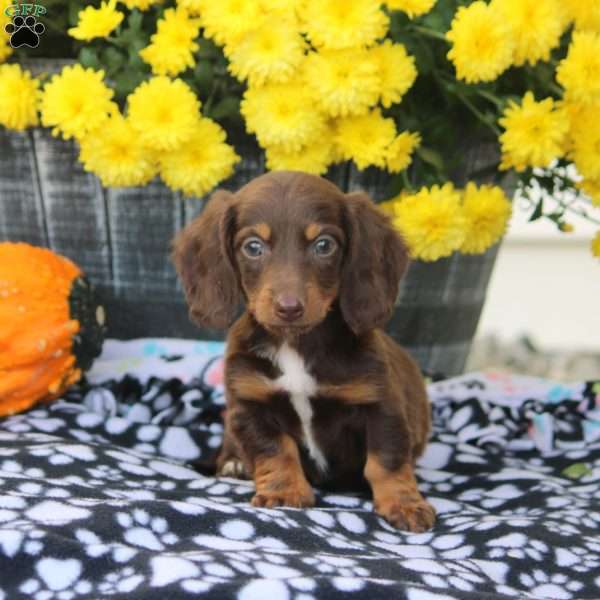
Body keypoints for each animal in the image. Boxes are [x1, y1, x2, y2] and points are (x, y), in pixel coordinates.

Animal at [173, 171, 436, 532]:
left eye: (324, 245)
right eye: (252, 247)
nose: (289, 308)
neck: (296, 343)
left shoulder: (381, 405)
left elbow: (387, 459)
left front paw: (404, 503)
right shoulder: (251, 405)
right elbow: (275, 451)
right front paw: (284, 492)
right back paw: (233, 463)